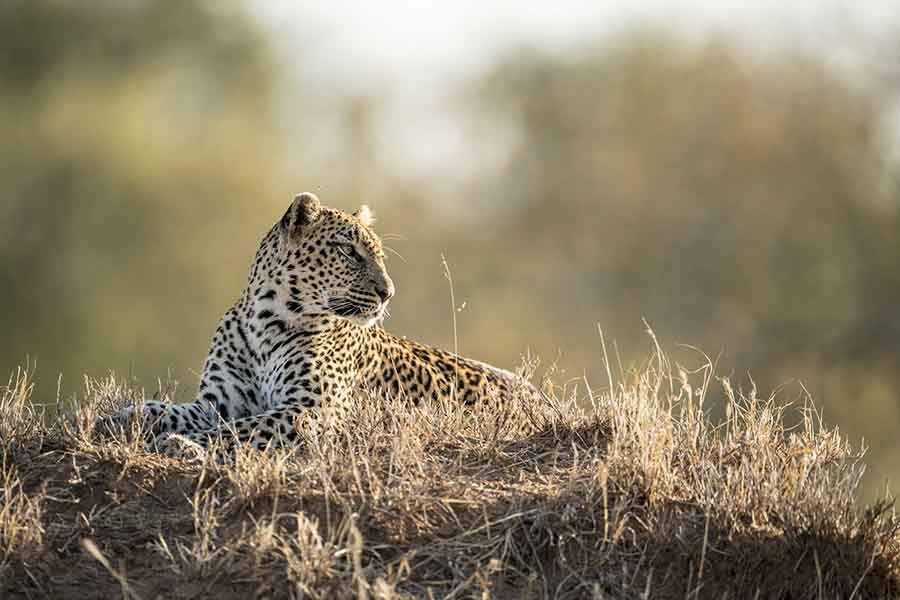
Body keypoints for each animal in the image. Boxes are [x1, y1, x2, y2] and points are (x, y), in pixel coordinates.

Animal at [105, 195, 540, 458]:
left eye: (379, 255)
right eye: (349, 252)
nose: (389, 293)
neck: (266, 322)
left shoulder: (312, 410)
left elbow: (241, 430)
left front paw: (183, 444)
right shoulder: (217, 402)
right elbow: (167, 409)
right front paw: (122, 417)